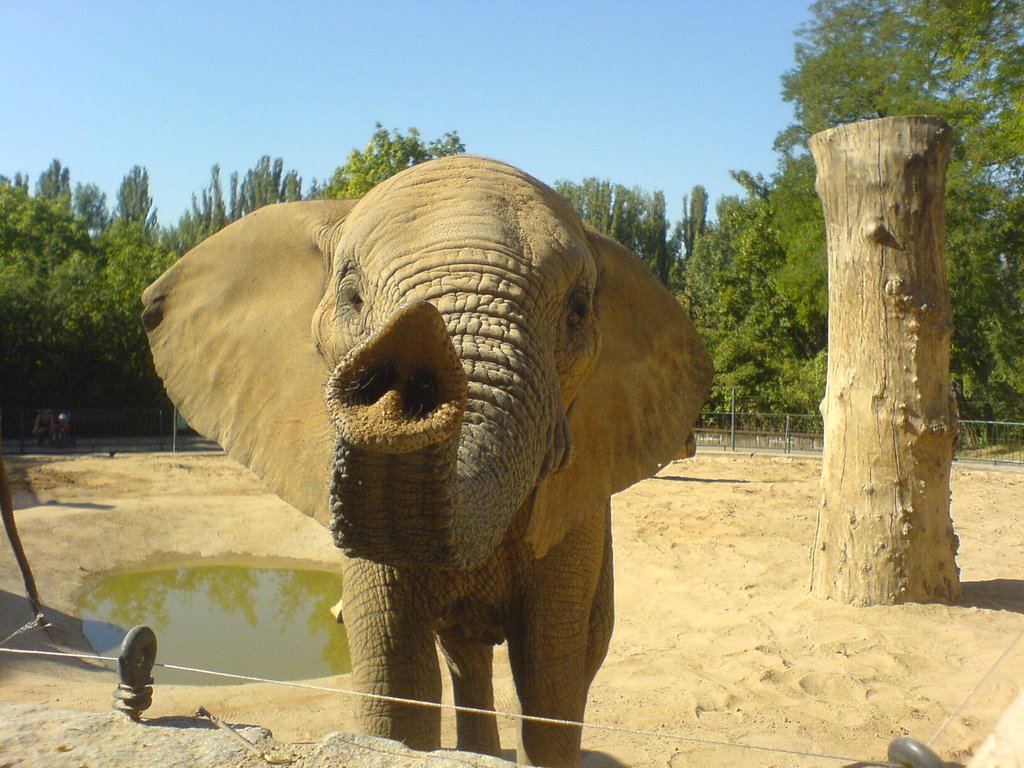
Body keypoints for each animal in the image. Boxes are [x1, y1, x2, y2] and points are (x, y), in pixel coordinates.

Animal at [144, 156, 712, 768]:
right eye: (352, 297)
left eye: (578, 311)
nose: (409, 355)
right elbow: (397, 687)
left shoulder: (575, 520)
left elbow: (549, 684)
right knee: (464, 657)